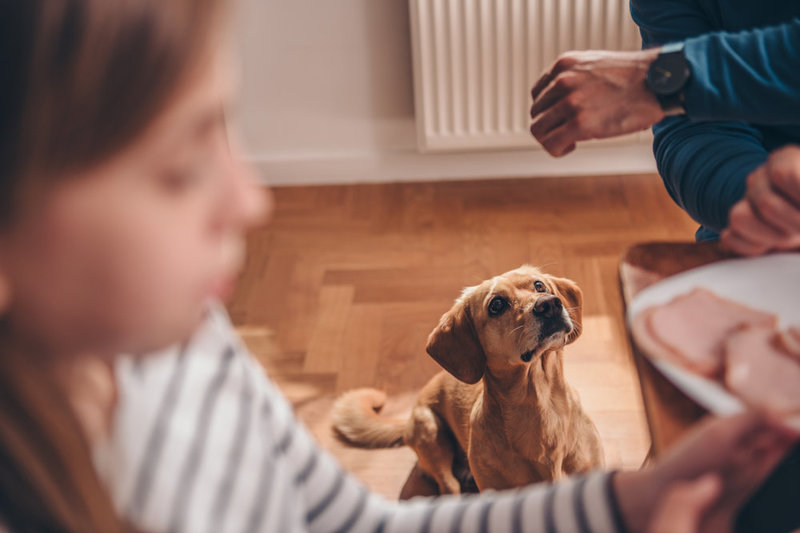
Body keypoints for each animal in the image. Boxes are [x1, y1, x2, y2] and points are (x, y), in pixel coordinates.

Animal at [330, 264, 600, 492]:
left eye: (539, 286)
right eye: (496, 305)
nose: (549, 304)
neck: (541, 404)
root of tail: (407, 420)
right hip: (429, 429)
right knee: (448, 485)